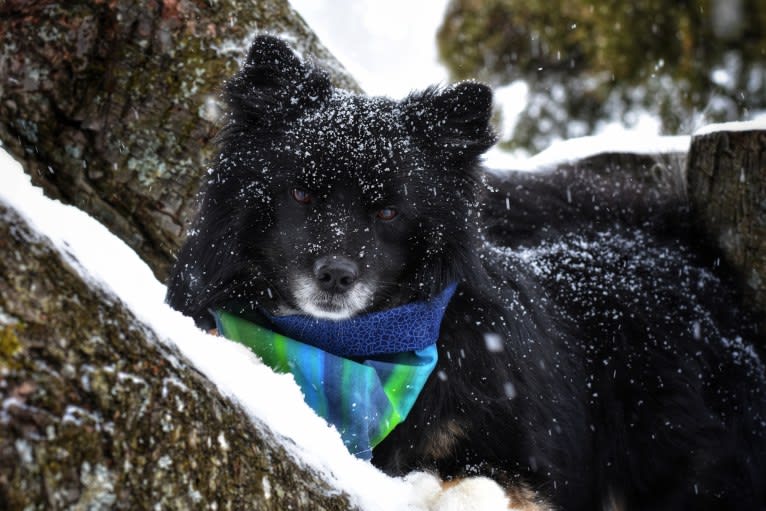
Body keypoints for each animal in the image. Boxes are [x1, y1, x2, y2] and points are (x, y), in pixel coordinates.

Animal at [170, 37, 766, 511]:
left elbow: (476, 482)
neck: (353, 347)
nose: (336, 275)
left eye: (389, 212)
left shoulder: (529, 458)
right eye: (300, 194)